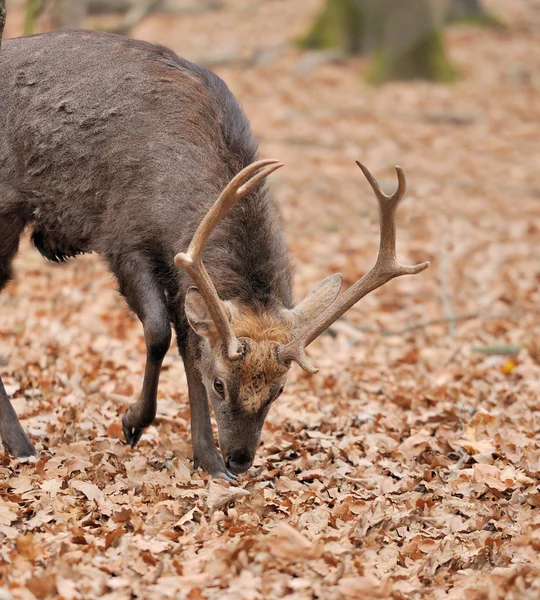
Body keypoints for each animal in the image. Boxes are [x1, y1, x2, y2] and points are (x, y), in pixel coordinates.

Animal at [1, 0, 430, 478]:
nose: (240, 460)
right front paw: (133, 421)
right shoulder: (123, 236)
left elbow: (189, 345)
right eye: (221, 384)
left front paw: (205, 458)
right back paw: (22, 445)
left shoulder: (178, 268)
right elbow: (158, 332)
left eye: (279, 390)